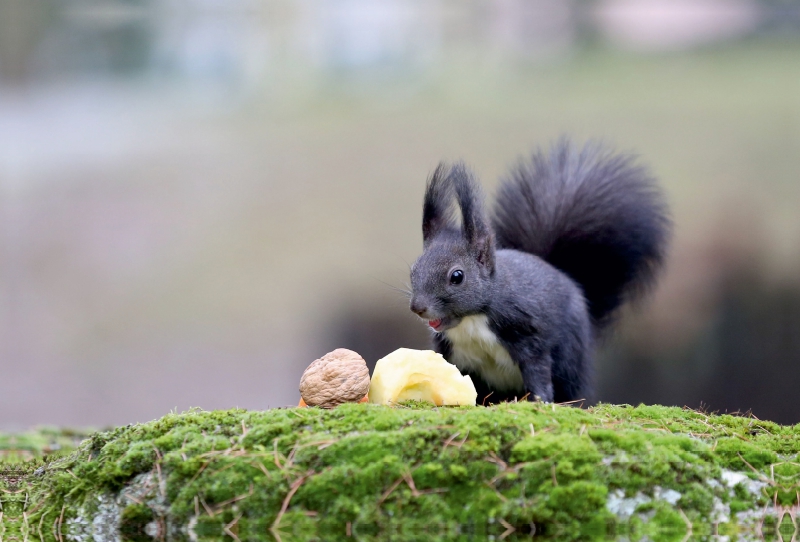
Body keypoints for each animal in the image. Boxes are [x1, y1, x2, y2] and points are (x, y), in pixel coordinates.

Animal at [410, 138, 672, 406]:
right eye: (413, 269)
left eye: (457, 276)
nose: (418, 307)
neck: (473, 319)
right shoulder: (451, 351)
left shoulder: (527, 332)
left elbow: (537, 370)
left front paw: (540, 400)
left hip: (570, 356)